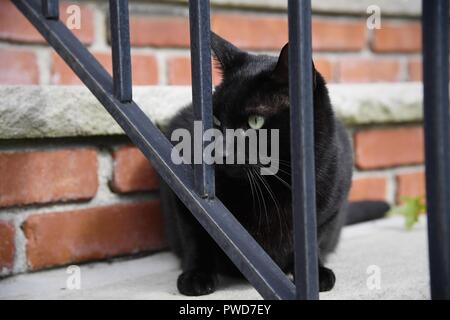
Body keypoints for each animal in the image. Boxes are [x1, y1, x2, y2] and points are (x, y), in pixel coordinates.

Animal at [157, 33, 386, 298]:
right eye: (215, 121)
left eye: (255, 121)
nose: (220, 152)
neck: (275, 186)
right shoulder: (183, 187)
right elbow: (196, 234)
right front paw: (196, 275)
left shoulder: (331, 204)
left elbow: (314, 237)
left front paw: (316, 273)